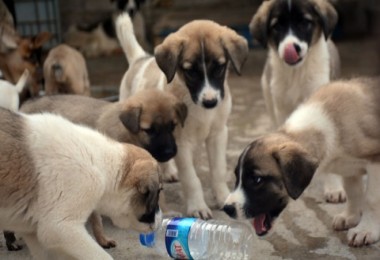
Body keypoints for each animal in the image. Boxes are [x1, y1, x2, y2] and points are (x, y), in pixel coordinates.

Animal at [0, 106, 162, 258]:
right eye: (158, 192)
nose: (161, 220)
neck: (99, 163)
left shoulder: (38, 237)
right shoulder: (60, 228)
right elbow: (101, 256)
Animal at [117, 13, 249, 218]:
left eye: (220, 67)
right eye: (190, 71)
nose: (210, 102)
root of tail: (140, 59)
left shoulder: (218, 134)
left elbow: (218, 170)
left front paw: (222, 197)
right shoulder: (181, 142)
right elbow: (191, 178)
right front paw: (198, 206)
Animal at [224, 76, 380, 247]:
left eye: (257, 180)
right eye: (237, 177)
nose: (226, 209)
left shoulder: (375, 161)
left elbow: (371, 199)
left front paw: (366, 229)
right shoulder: (349, 170)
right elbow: (353, 192)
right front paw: (351, 217)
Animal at [251, 0, 342, 203]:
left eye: (304, 23)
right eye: (277, 26)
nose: (292, 48)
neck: (297, 72)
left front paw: (334, 187)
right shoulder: (281, 108)